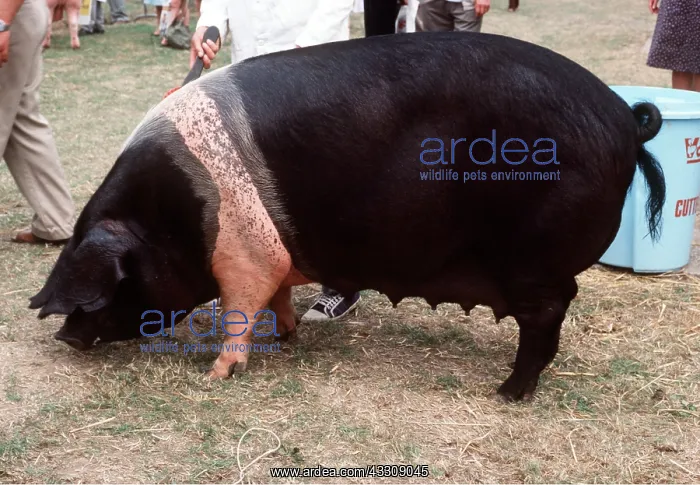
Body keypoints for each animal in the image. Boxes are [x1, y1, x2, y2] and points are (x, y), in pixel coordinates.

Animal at [29, 32, 666, 401]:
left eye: (110, 287)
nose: (64, 337)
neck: (172, 218)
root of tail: (623, 120)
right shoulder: (273, 255)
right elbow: (278, 295)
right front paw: (288, 335)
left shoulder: (242, 256)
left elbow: (239, 306)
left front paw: (218, 375)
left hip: (534, 261)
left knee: (546, 317)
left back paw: (506, 393)